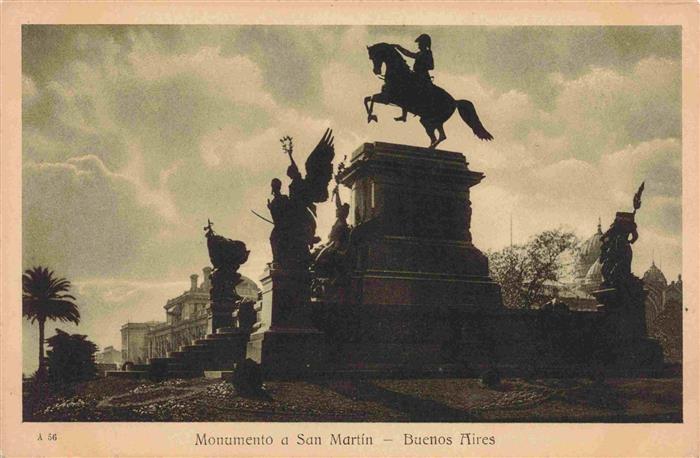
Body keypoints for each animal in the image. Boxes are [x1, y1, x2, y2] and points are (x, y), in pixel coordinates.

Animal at [364, 43, 494, 148]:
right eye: (371, 58)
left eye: (376, 55)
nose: (376, 71)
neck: (398, 73)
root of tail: (455, 101)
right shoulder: (386, 97)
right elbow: (367, 98)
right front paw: (371, 116)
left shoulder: (387, 98)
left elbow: (371, 99)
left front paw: (371, 117)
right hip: (433, 121)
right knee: (440, 136)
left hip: (431, 120)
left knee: (439, 136)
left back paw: (431, 148)